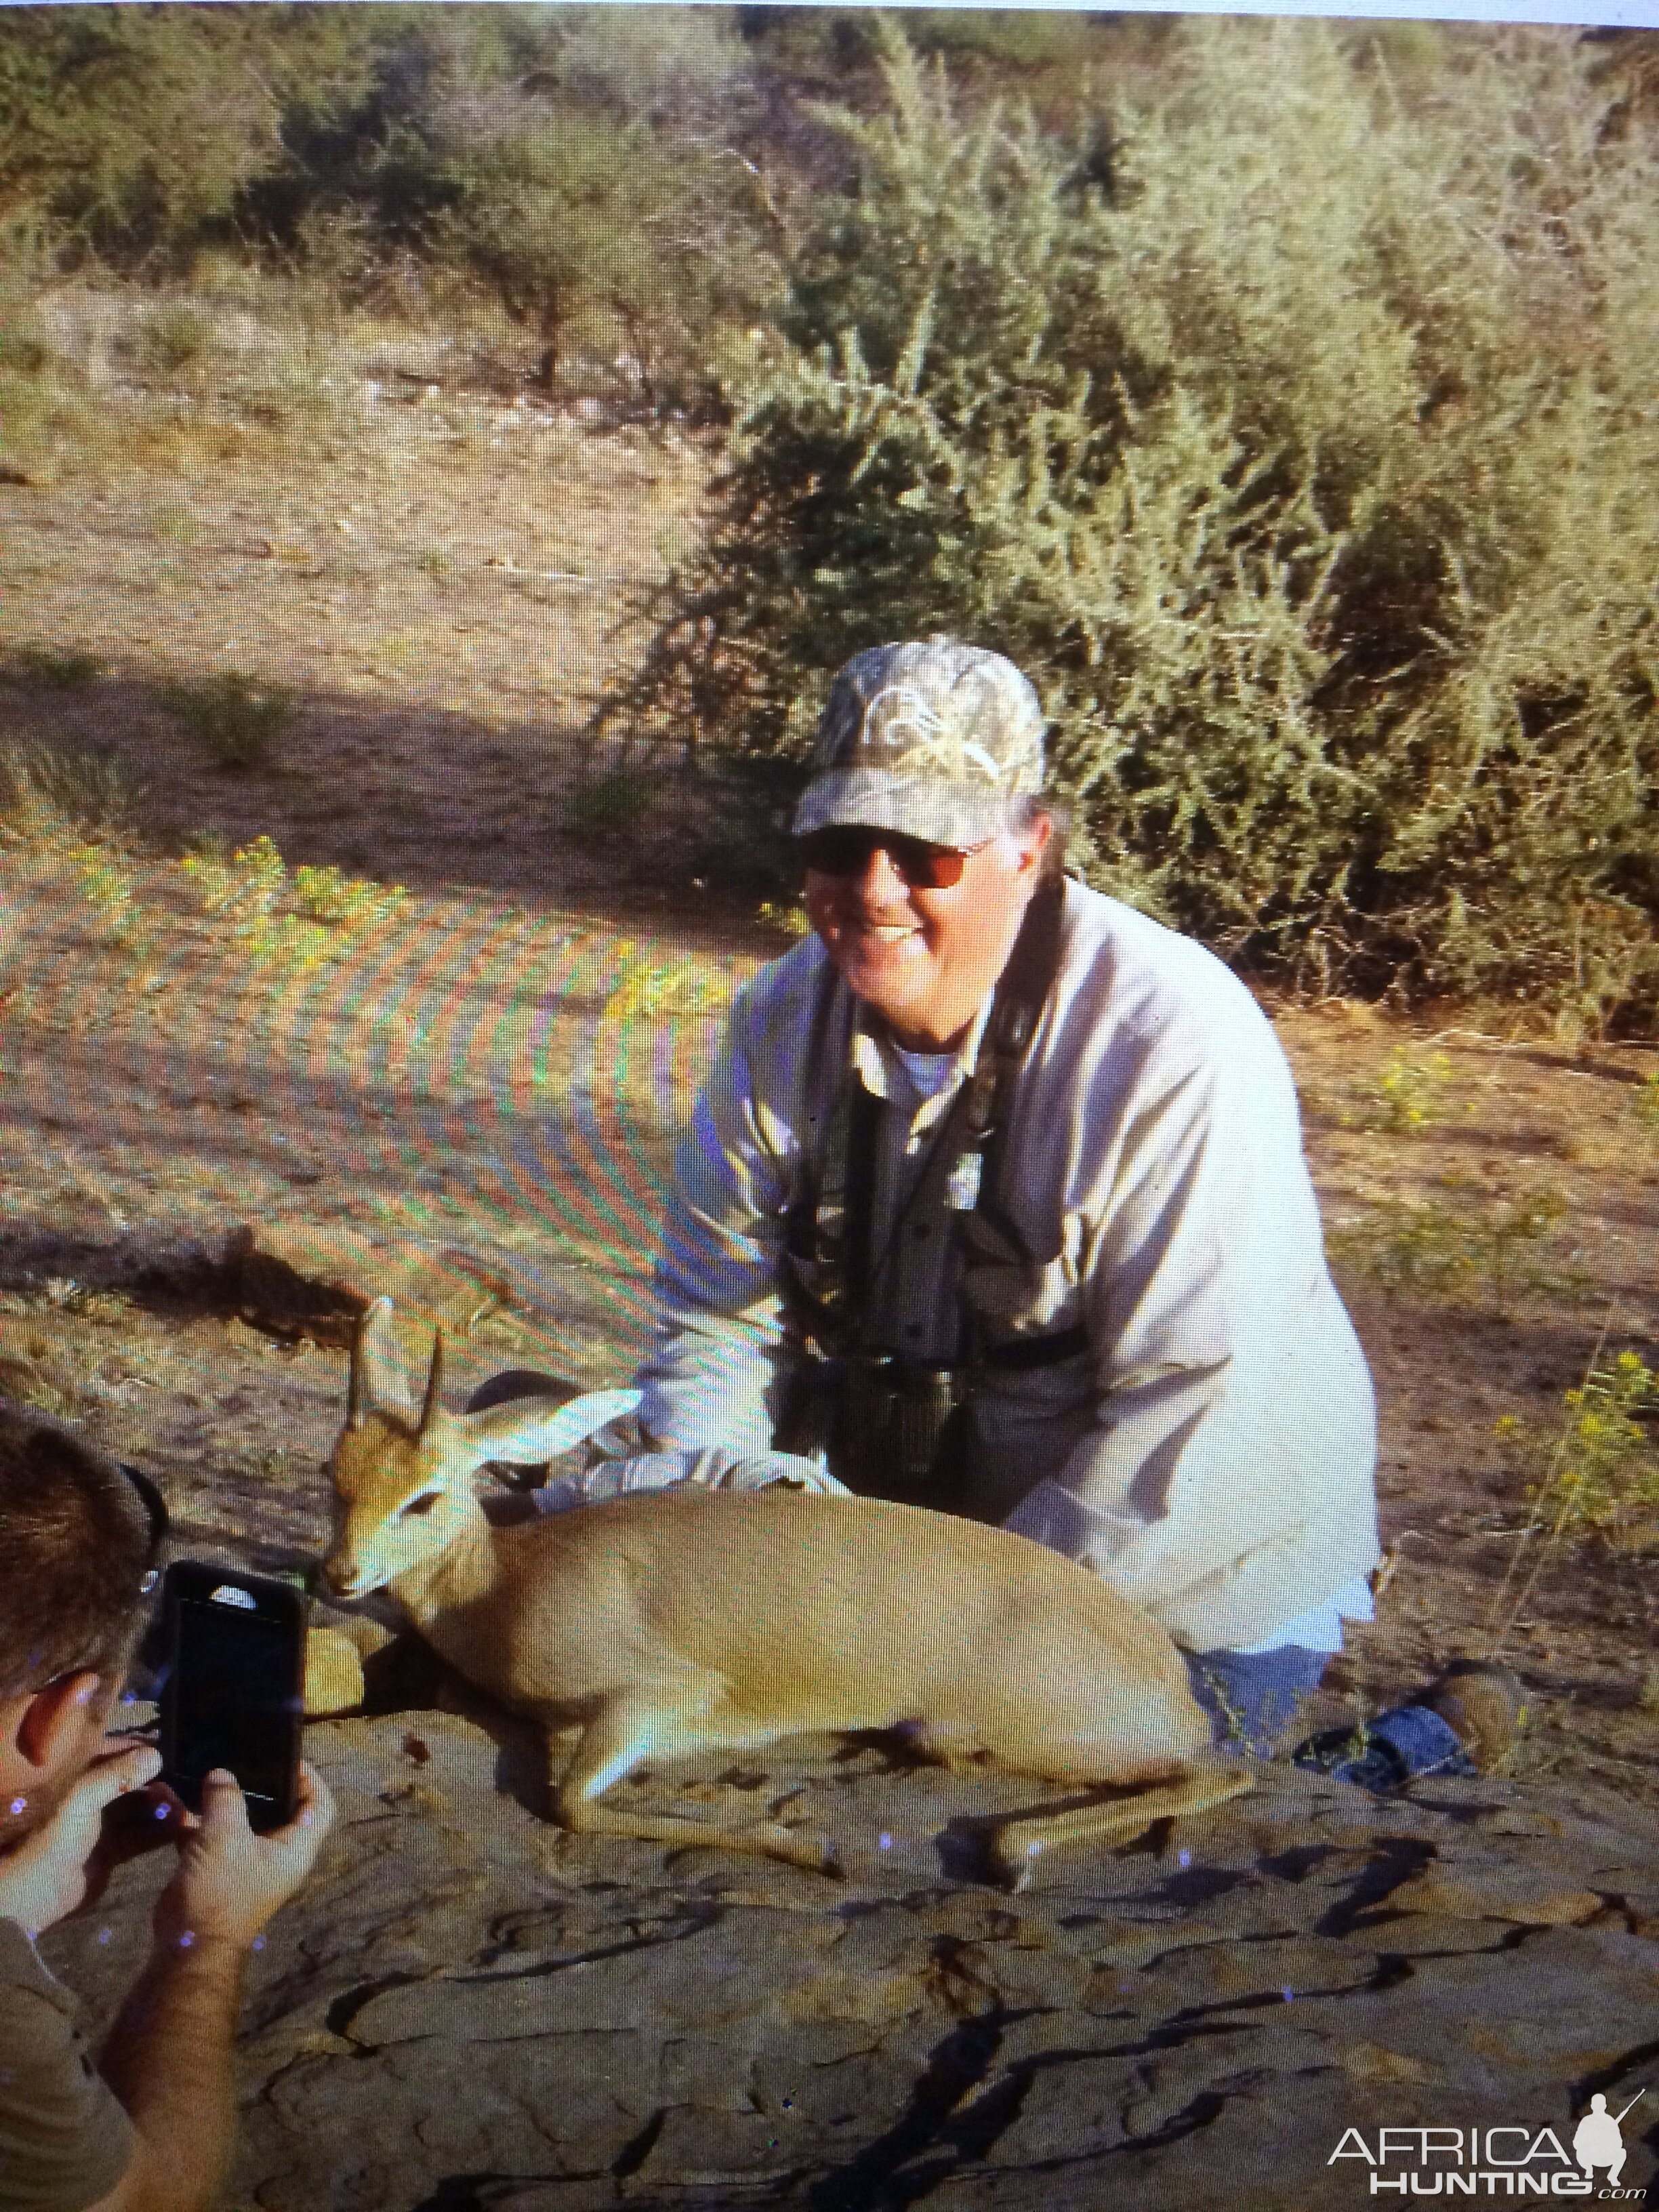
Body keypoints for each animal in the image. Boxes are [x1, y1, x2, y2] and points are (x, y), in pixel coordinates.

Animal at [321, 1292, 1247, 1884]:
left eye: (424, 1496)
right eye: (337, 1474)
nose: (339, 1575)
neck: (505, 1585)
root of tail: (1169, 1672)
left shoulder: (656, 1695)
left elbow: (572, 1804)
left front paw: (807, 1845)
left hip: (1035, 1734)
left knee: (1218, 1772)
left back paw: (1013, 1853)